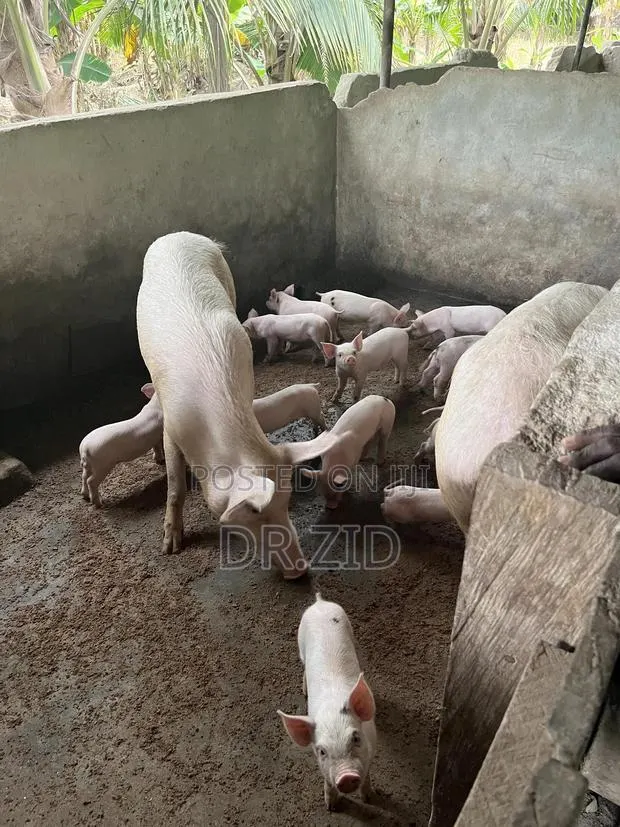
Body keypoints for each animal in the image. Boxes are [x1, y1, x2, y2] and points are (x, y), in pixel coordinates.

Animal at [136, 232, 343, 578]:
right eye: (255, 515)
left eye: (286, 502)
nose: (301, 569)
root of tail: (179, 235)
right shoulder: (172, 424)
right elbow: (176, 487)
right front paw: (170, 547)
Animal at [277, 593, 376, 811]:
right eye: (322, 751)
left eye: (356, 738)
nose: (346, 777)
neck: (331, 708)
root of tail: (319, 602)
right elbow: (328, 782)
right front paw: (331, 807)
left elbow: (367, 775)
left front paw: (369, 798)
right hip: (300, 643)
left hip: (349, 628)